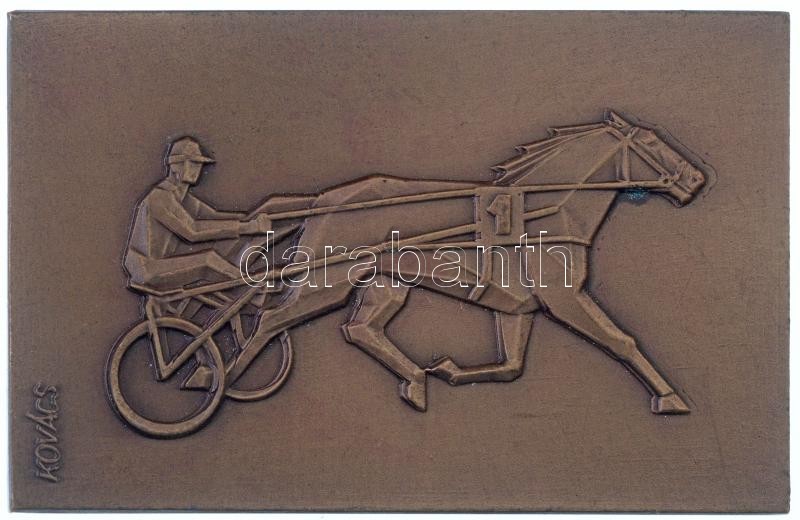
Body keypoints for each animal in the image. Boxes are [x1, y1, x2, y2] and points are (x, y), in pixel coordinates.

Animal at [222, 109, 712, 416]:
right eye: (652, 143)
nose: (697, 180)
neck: (545, 208)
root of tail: (320, 199)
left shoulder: (517, 307)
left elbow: (512, 365)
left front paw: (449, 370)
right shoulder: (564, 298)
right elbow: (621, 340)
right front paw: (670, 398)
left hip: (385, 283)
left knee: (360, 329)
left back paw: (416, 383)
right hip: (326, 280)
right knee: (271, 320)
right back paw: (221, 383)